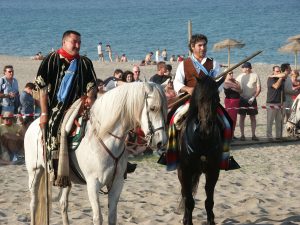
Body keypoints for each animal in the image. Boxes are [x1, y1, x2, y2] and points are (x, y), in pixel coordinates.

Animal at [24, 81, 168, 224]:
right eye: (153, 108)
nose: (161, 142)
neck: (105, 137)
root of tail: (32, 125)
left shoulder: (117, 183)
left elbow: (112, 217)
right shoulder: (93, 184)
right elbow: (98, 217)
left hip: (65, 177)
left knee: (63, 203)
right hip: (35, 171)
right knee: (34, 203)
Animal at [178, 76, 223, 225]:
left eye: (217, 100)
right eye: (201, 99)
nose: (206, 128)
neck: (203, 139)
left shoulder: (213, 171)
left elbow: (209, 201)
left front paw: (211, 221)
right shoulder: (185, 171)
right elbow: (189, 200)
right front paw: (188, 221)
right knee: (185, 194)